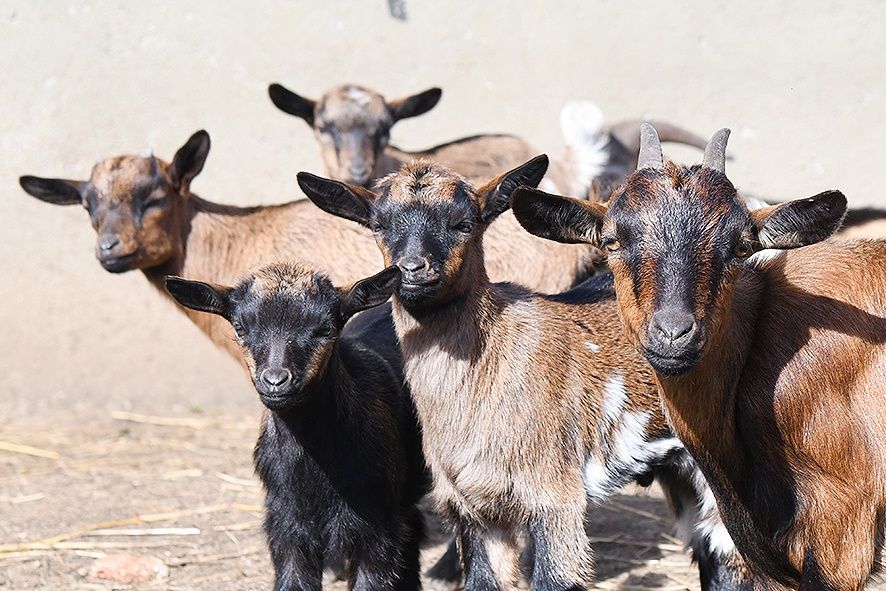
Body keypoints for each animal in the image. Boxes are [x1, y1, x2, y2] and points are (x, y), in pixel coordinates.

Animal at [296, 159, 754, 591]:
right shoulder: (474, 510)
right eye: (378, 225)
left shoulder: (555, 498)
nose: (412, 269)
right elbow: (483, 581)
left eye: (464, 223)